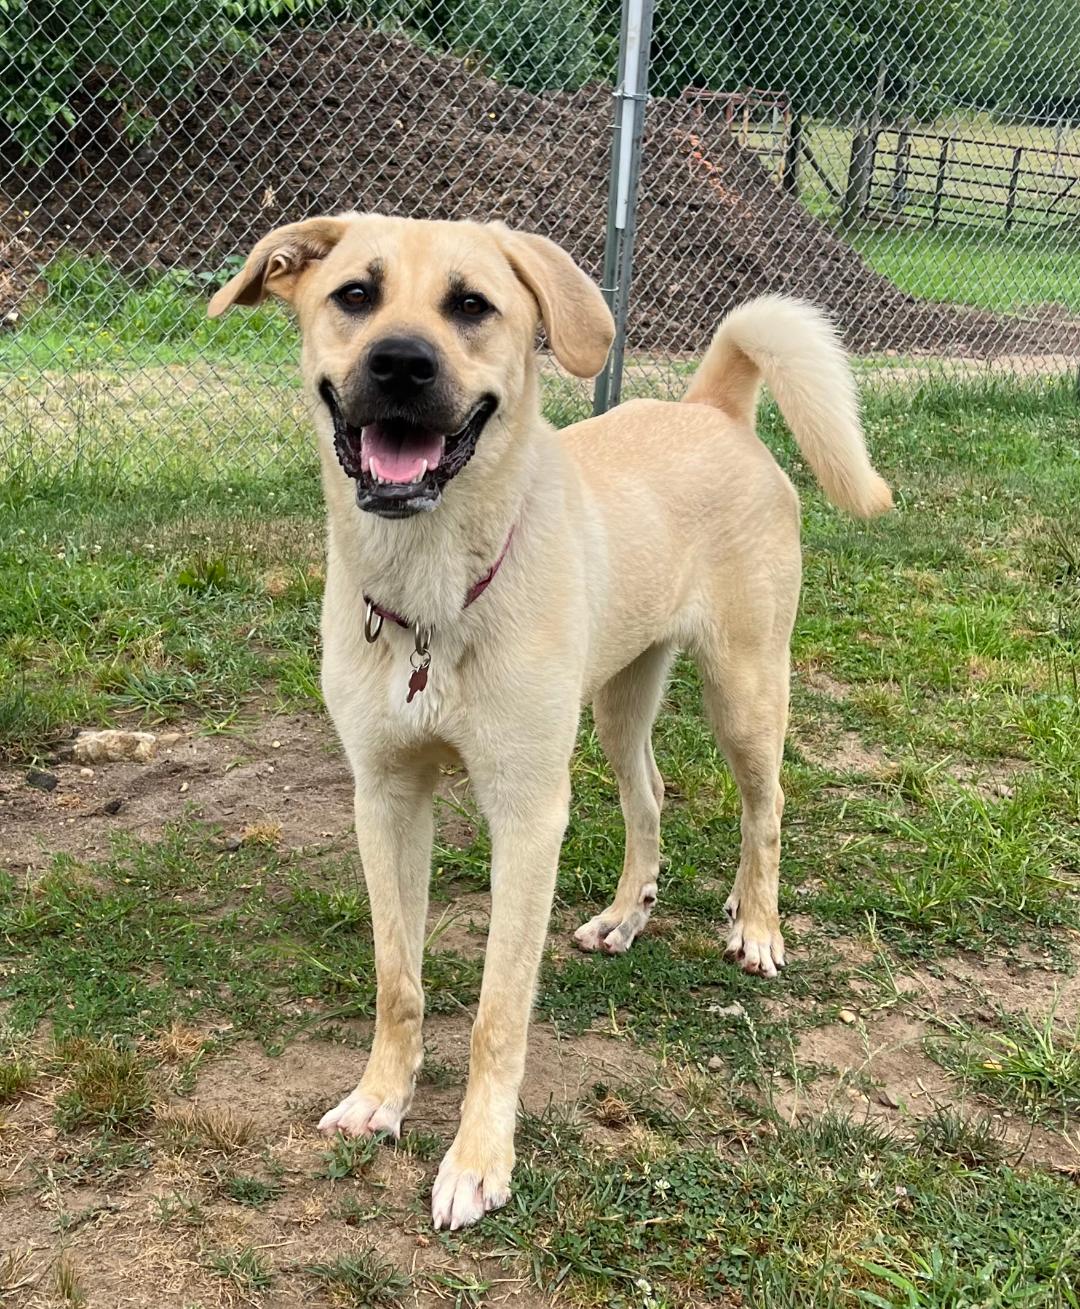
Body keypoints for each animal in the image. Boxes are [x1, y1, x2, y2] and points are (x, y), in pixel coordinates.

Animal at [206, 214, 890, 1225]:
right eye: (355, 295)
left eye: (471, 305)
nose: (401, 363)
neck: (432, 585)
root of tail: (715, 407)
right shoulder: (385, 797)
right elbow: (397, 979)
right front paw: (381, 1098)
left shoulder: (528, 813)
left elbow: (498, 1012)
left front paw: (478, 1159)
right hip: (618, 699)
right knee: (650, 795)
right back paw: (625, 917)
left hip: (745, 688)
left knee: (763, 809)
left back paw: (758, 926)